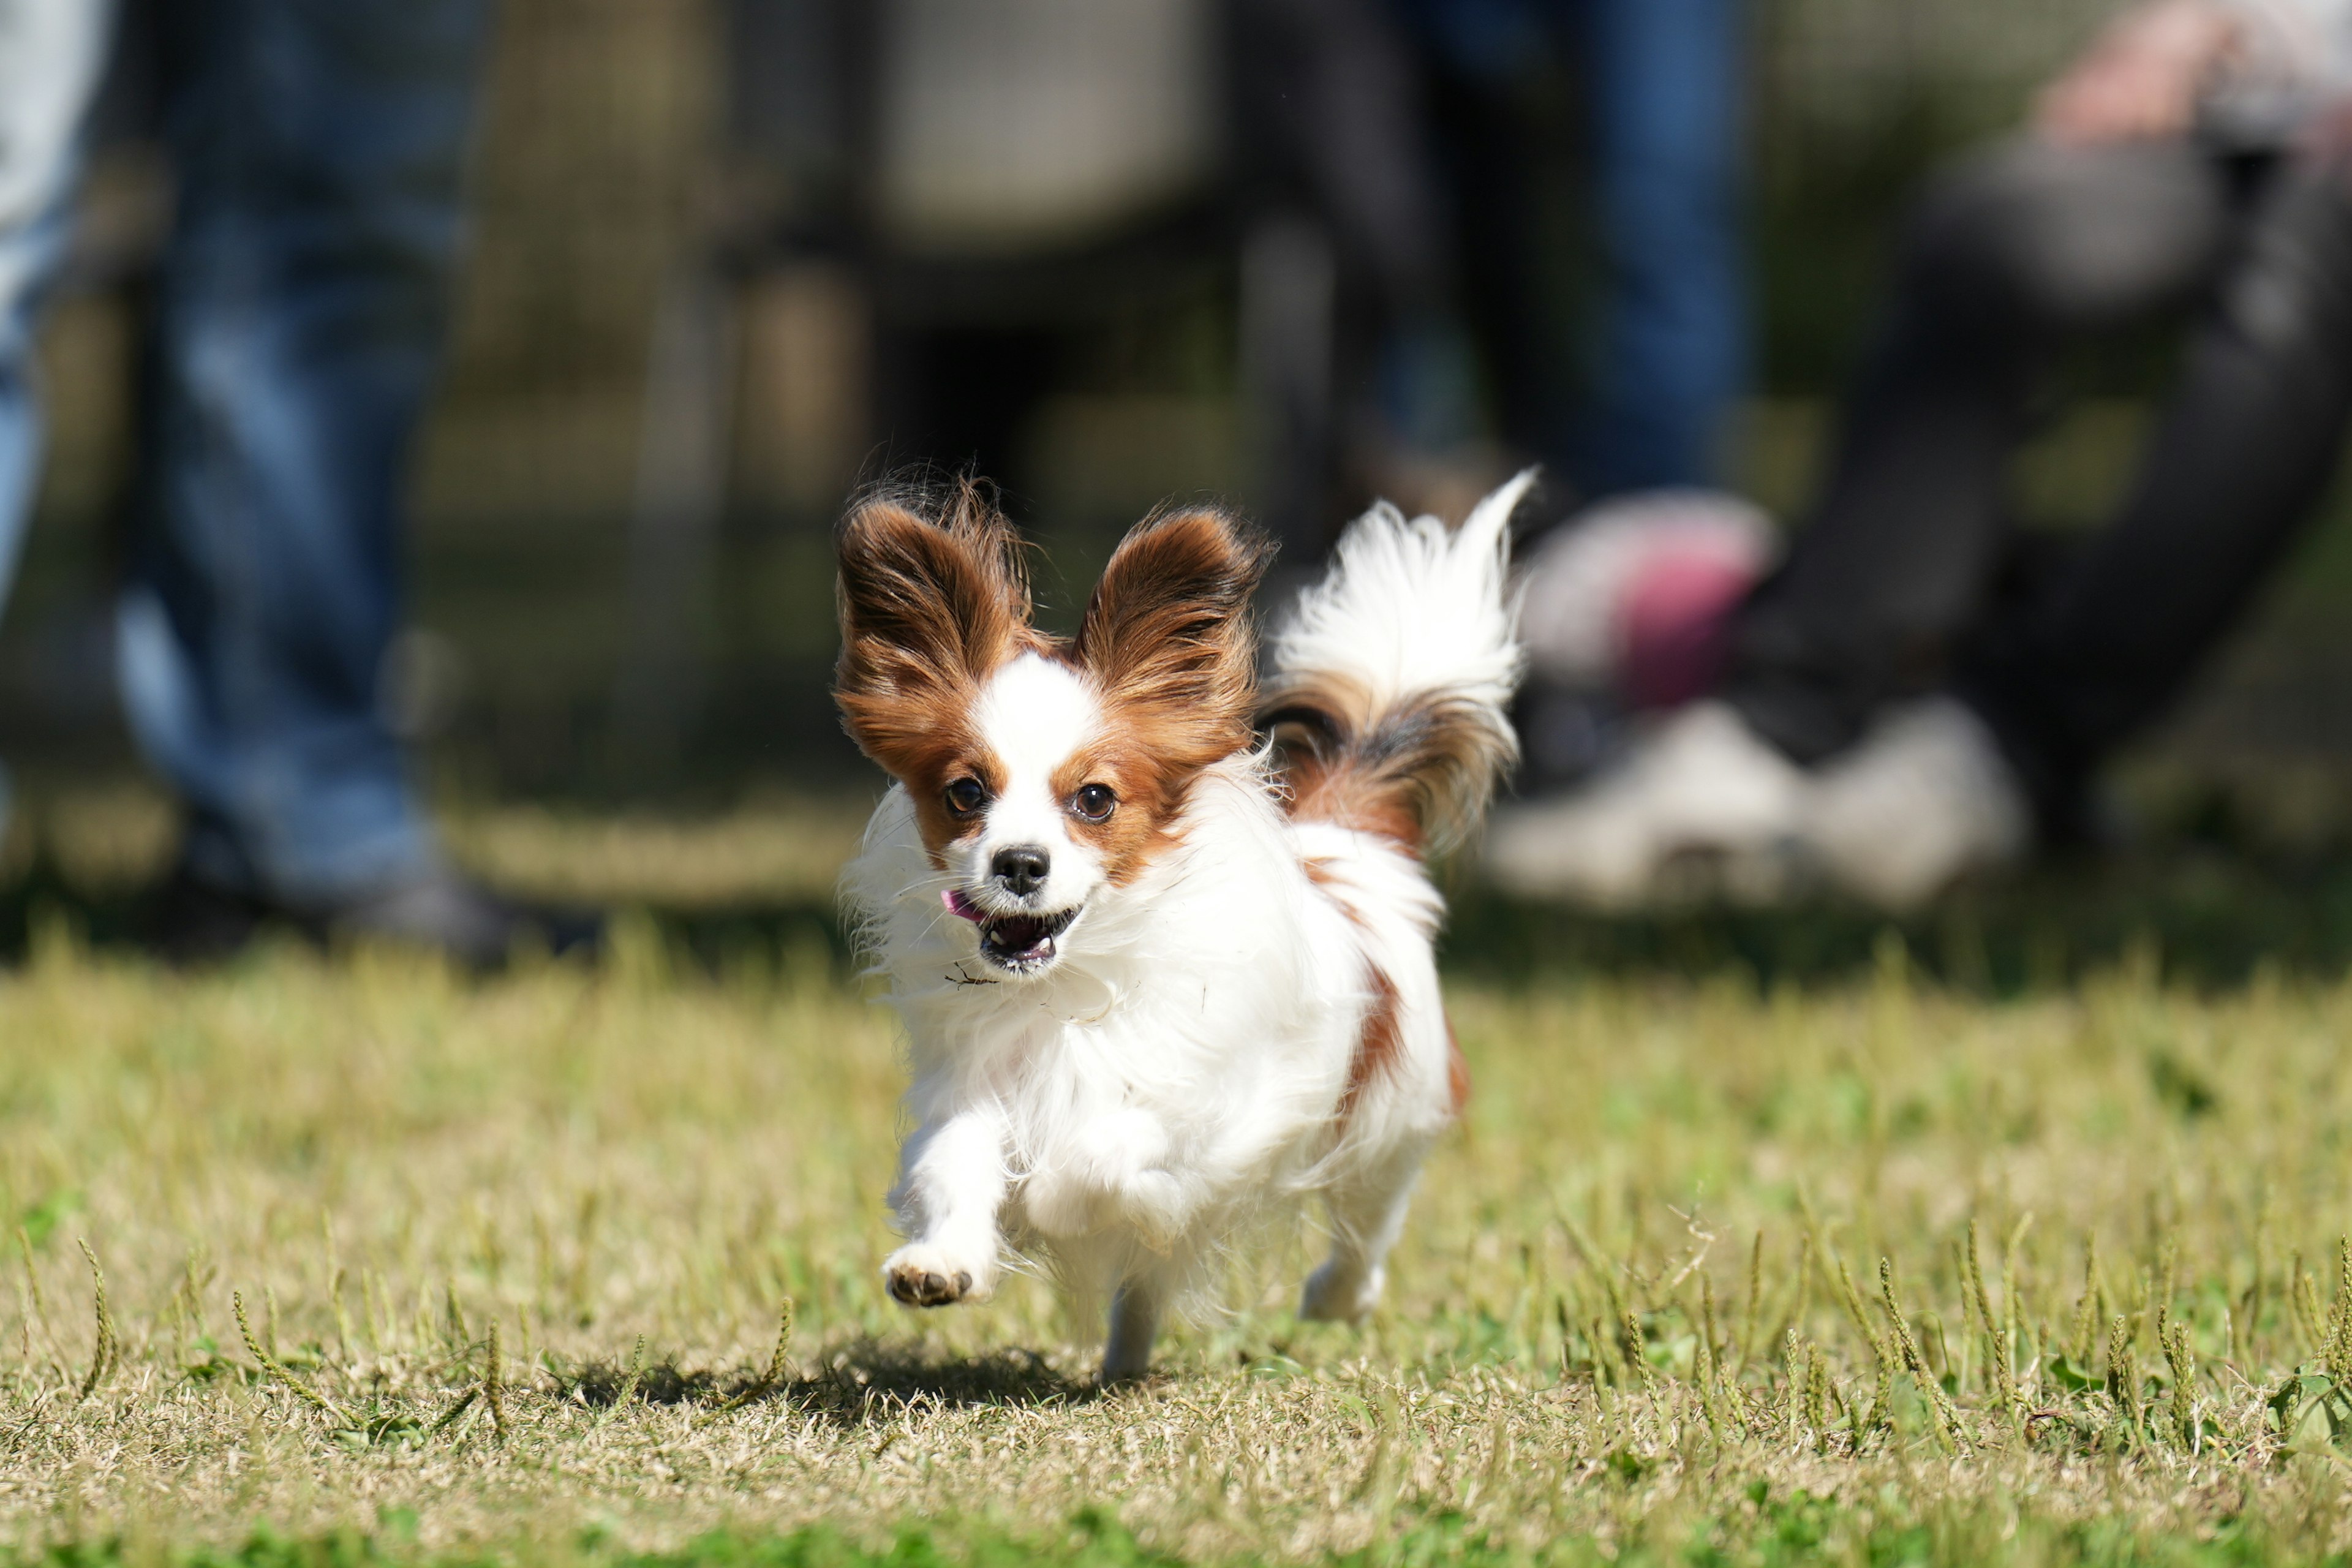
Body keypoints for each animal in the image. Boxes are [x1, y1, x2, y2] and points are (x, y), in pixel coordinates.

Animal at [837, 472, 1533, 1382]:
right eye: (965, 793)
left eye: (1094, 799)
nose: (1019, 863)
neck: (1070, 988)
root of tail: (1347, 844)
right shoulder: (972, 1086)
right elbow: (956, 1166)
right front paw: (944, 1261)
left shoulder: (1219, 1112)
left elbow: (1103, 1157)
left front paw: (1051, 1196)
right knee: (1149, 1285)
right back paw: (1124, 1362)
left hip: (1389, 1116)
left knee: (1366, 1223)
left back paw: (1339, 1296)